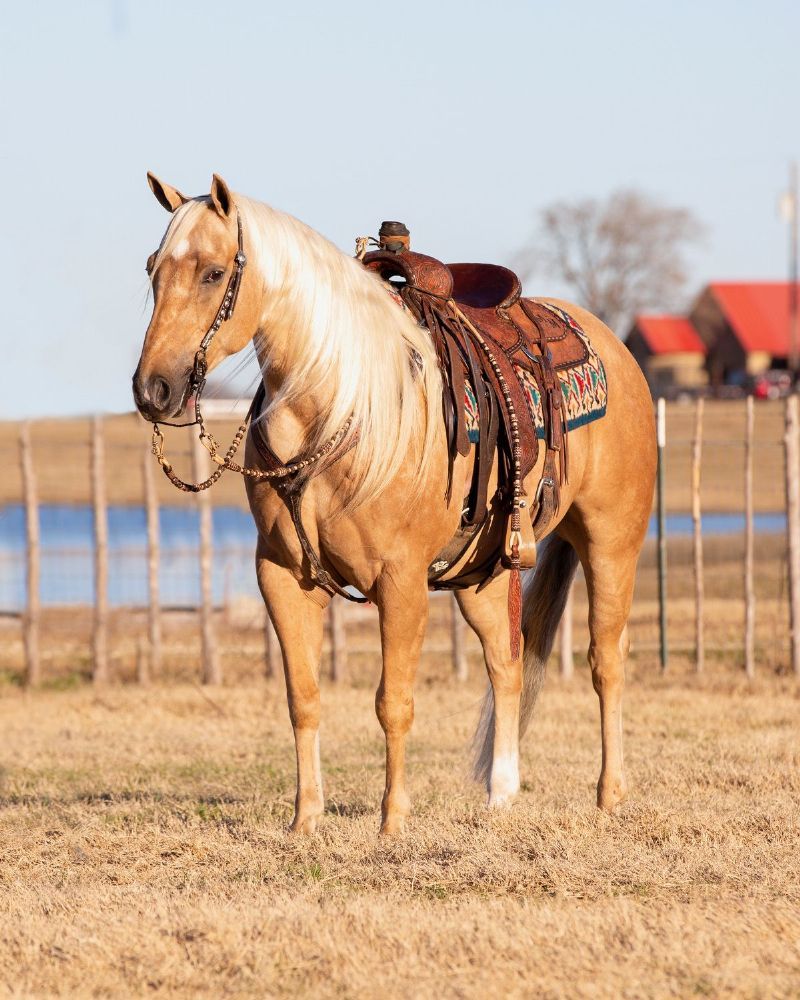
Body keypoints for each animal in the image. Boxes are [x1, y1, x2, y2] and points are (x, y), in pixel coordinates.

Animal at [133, 173, 656, 836]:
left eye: (213, 272)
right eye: (153, 268)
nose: (153, 389)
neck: (339, 403)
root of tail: (611, 343)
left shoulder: (401, 581)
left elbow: (393, 703)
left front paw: (392, 821)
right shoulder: (281, 574)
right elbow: (303, 697)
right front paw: (305, 821)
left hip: (612, 544)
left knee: (605, 660)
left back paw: (610, 794)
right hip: (482, 575)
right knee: (507, 664)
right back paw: (501, 796)